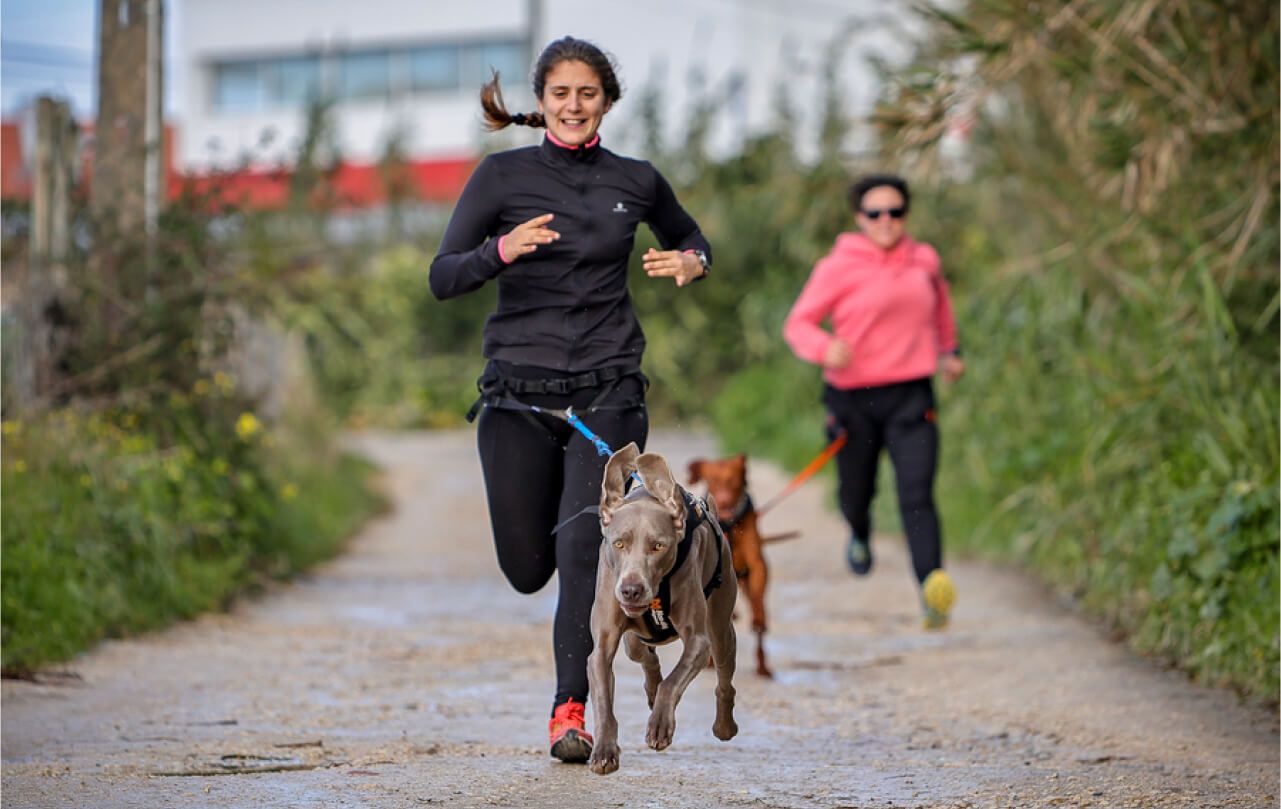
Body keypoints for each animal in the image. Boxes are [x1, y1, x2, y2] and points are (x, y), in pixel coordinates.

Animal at [586, 442, 737, 778]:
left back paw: (724, 726)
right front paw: (604, 752)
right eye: (618, 544)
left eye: (658, 546)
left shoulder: (698, 641)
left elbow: (673, 681)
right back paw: (651, 688)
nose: (631, 589)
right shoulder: (602, 644)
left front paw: (659, 726)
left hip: (721, 628)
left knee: (724, 679)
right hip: (633, 639)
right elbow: (603, 699)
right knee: (643, 654)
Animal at [686, 455, 794, 675]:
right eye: (713, 480)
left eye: (733, 480)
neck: (729, 525)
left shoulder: (757, 564)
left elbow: (759, 598)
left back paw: (762, 665)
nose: (724, 500)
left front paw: (759, 616)